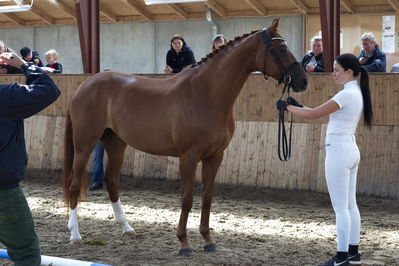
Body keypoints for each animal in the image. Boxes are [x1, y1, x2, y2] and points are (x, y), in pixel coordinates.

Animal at [62, 18, 308, 256]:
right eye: (282, 48)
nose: (303, 81)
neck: (206, 93)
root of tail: (84, 86)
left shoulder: (214, 157)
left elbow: (207, 198)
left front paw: (208, 241)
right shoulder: (188, 157)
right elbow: (187, 199)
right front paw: (184, 244)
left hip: (116, 144)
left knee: (112, 182)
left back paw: (127, 228)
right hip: (84, 145)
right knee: (74, 185)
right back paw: (75, 234)